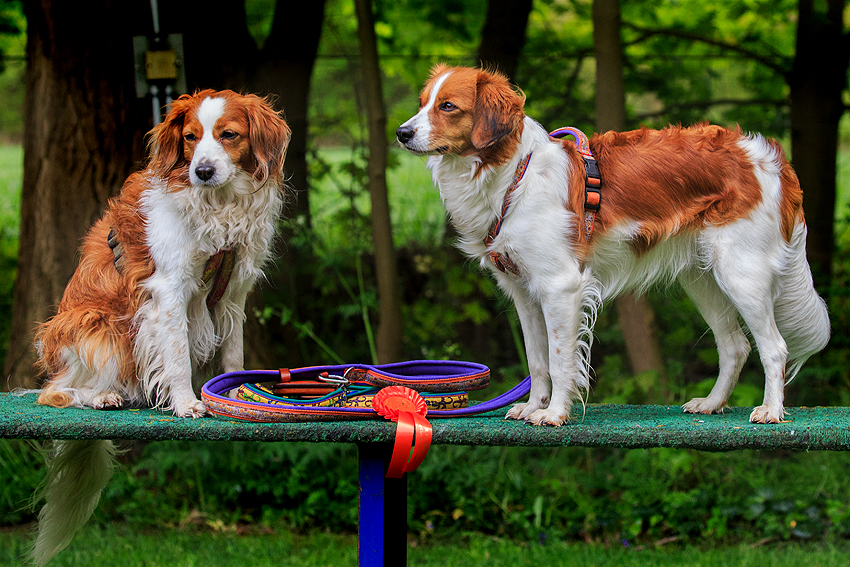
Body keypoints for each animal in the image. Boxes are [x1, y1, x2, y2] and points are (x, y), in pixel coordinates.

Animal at [30, 91, 292, 564]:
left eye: (228, 135)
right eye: (190, 137)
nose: (202, 170)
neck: (219, 205)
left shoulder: (232, 294)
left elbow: (233, 355)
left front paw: (238, 395)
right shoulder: (169, 290)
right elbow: (177, 357)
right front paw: (187, 403)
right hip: (99, 328)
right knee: (52, 393)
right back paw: (99, 397)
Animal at [396, 64, 828, 428]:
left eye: (448, 106)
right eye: (422, 103)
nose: (402, 133)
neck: (511, 177)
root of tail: (770, 157)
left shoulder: (560, 286)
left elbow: (559, 359)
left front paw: (554, 413)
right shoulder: (524, 293)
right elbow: (536, 361)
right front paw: (533, 406)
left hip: (742, 275)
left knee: (774, 347)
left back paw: (771, 410)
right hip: (702, 279)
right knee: (735, 346)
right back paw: (711, 403)